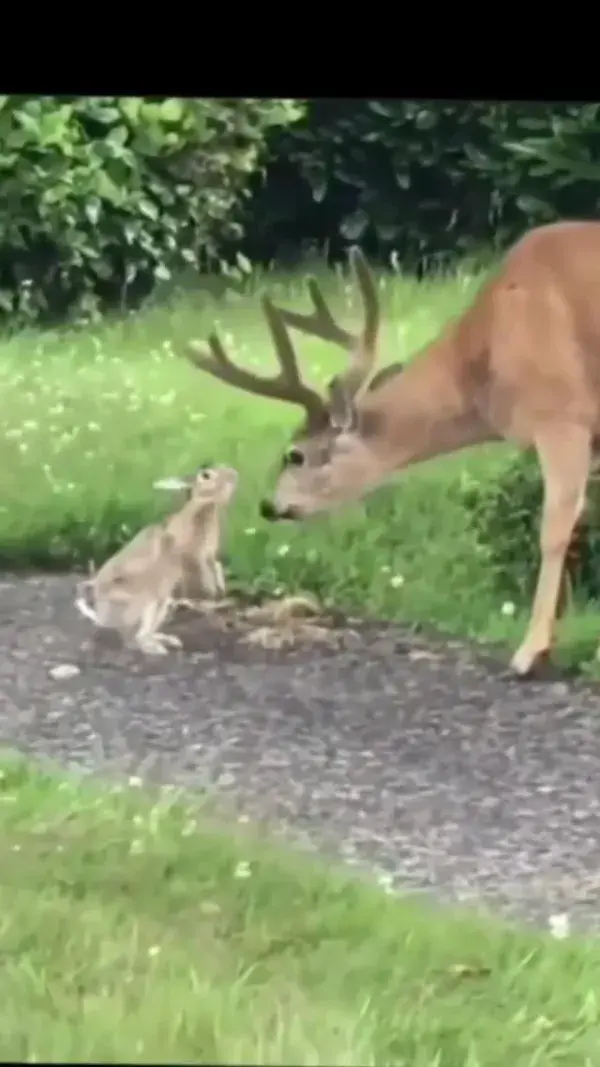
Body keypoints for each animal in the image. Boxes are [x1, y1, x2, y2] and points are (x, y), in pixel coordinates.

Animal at [75, 469, 239, 657]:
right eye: (206, 475)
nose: (234, 475)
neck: (205, 506)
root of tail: (104, 618)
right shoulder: (190, 556)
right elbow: (200, 569)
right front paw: (211, 591)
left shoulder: (208, 556)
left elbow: (216, 566)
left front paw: (219, 589)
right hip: (142, 602)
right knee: (135, 637)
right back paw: (155, 649)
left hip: (162, 603)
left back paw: (167, 640)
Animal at [182, 220, 600, 678]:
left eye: (295, 455)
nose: (268, 506)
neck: (486, 355)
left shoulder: (562, 417)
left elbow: (555, 532)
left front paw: (531, 651)